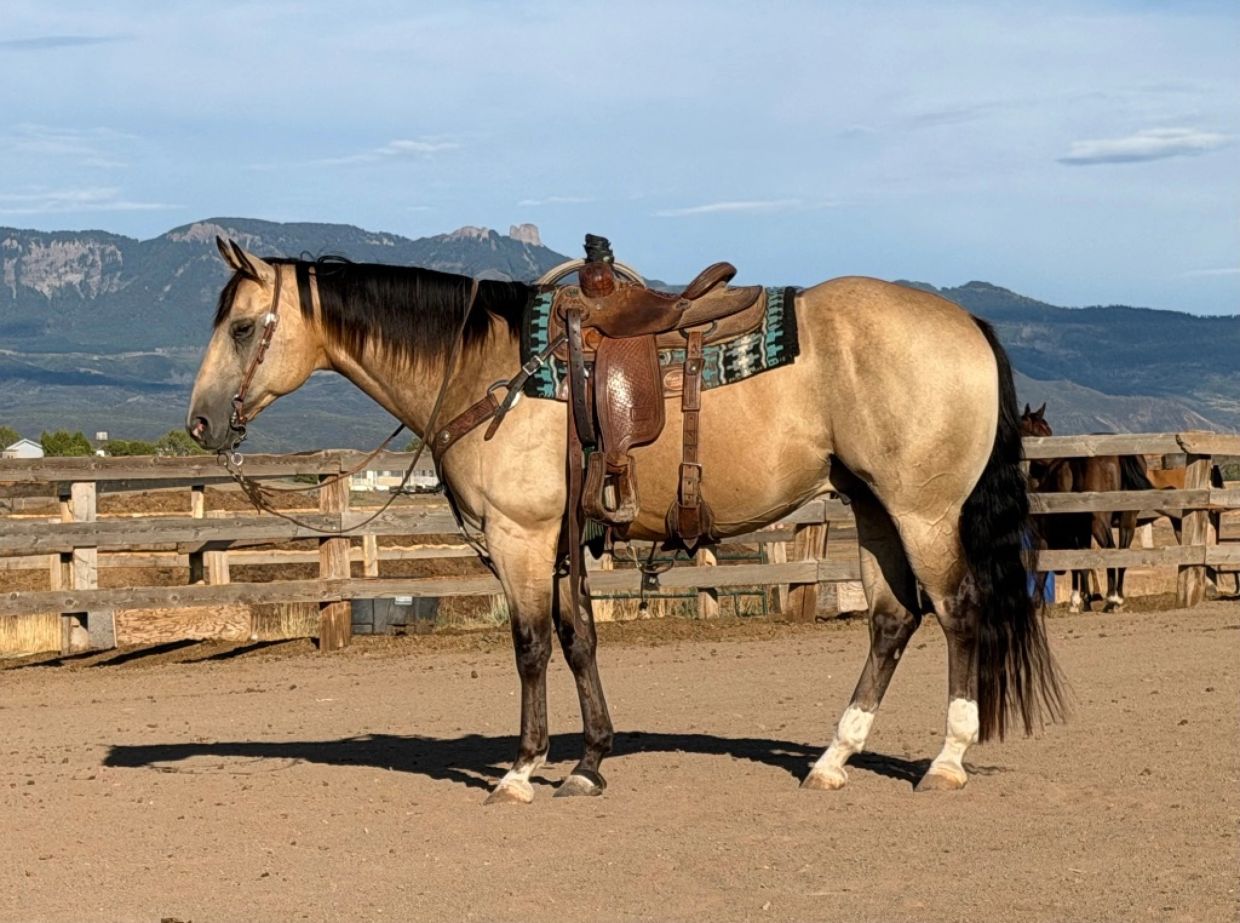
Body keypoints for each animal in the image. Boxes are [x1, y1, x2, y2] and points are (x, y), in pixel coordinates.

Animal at [187, 237, 1064, 802]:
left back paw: (945, 758)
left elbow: (532, 645)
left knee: (957, 610)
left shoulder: (520, 535)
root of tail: (965, 324)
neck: (488, 370)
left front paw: (521, 769)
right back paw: (832, 757)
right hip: (875, 505)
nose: (199, 423)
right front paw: (590, 761)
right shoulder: (561, 539)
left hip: (923, 510)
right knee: (891, 620)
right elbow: (579, 639)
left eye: (242, 326)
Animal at [1019, 403, 1151, 611]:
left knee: (1110, 548)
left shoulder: (1045, 535)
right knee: (1123, 551)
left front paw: (1039, 602)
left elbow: (1045, 568)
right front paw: (1082, 600)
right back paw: (1118, 598)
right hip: (1128, 518)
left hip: (1099, 520)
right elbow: (1082, 562)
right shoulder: (1080, 530)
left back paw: (1112, 598)